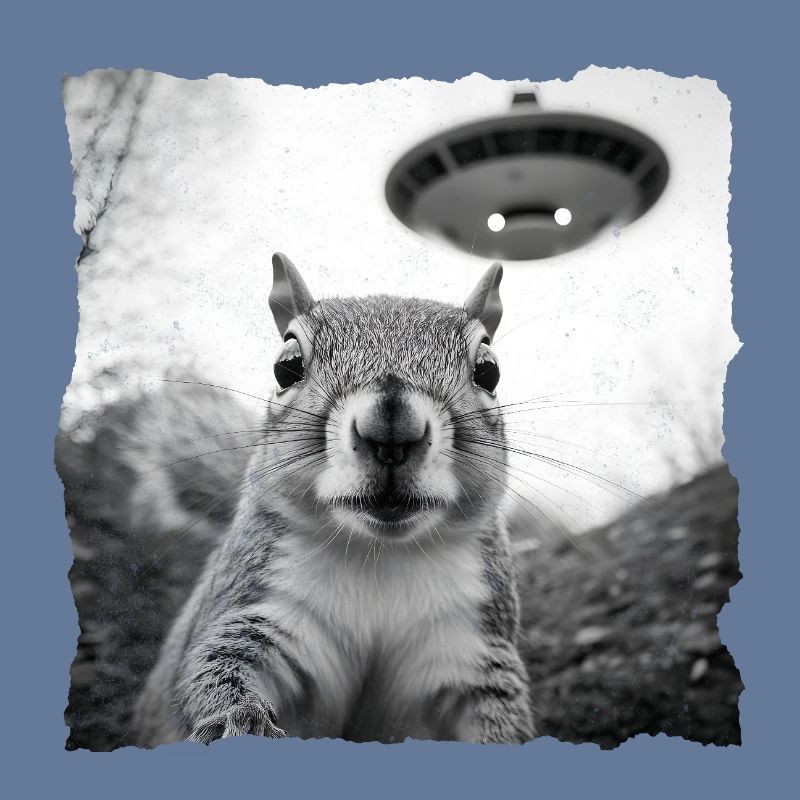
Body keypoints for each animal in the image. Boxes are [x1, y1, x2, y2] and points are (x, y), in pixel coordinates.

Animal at [131, 252, 535, 746]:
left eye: (488, 370)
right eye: (286, 366)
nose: (391, 429)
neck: (381, 555)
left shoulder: (469, 646)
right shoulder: (261, 608)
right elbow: (216, 667)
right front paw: (239, 721)